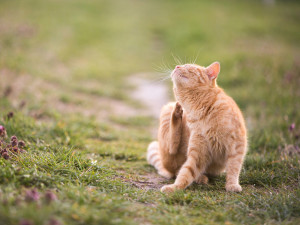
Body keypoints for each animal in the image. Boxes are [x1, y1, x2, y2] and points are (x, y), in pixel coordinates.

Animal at [146, 61, 247, 192]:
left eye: (190, 67)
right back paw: (177, 113)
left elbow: (234, 168)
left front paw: (232, 185)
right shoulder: (198, 153)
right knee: (173, 151)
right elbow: (185, 173)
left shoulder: (237, 145)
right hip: (167, 110)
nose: (177, 66)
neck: (199, 109)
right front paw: (174, 187)